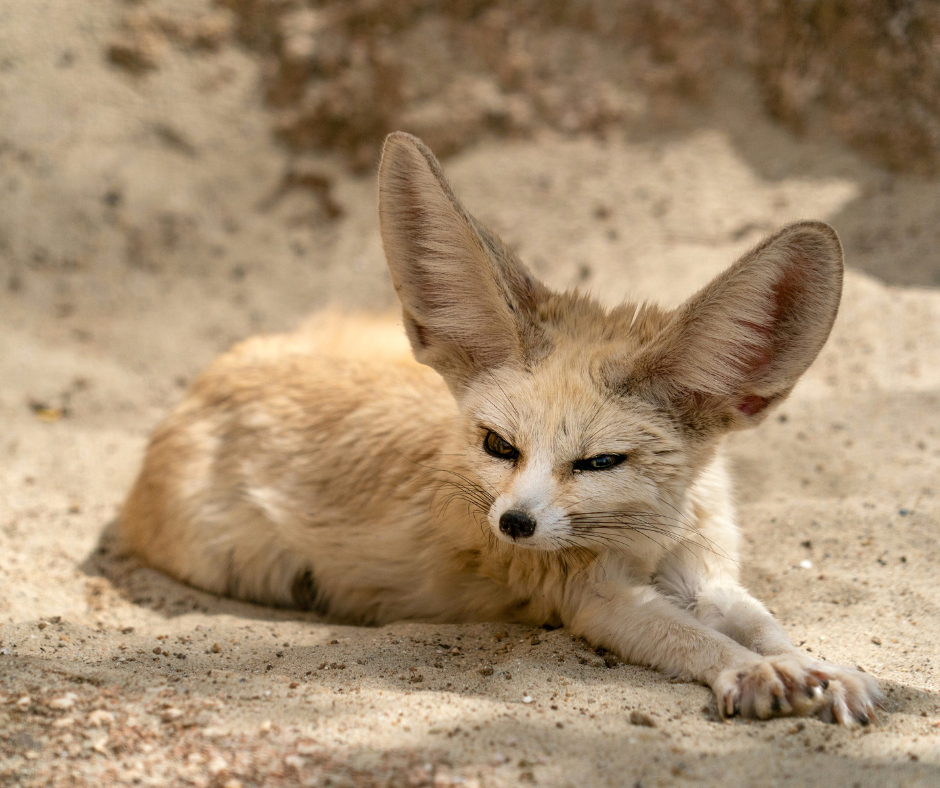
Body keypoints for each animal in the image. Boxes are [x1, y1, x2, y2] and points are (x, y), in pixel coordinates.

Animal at [119, 131, 880, 728]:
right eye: (499, 446)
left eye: (600, 462)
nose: (513, 523)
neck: (650, 540)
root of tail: (217, 369)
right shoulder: (593, 596)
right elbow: (695, 639)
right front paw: (752, 672)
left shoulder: (707, 571)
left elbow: (762, 622)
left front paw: (815, 666)